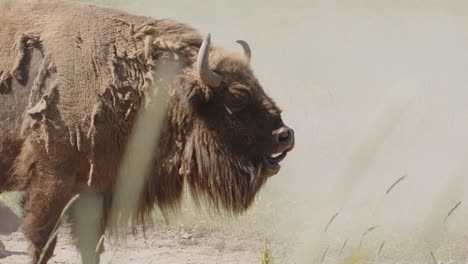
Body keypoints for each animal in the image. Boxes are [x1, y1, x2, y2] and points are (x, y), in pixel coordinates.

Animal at [0, 0, 292, 264]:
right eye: (237, 97)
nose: (285, 135)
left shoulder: (95, 189)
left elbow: (91, 247)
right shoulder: (51, 180)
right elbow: (42, 243)